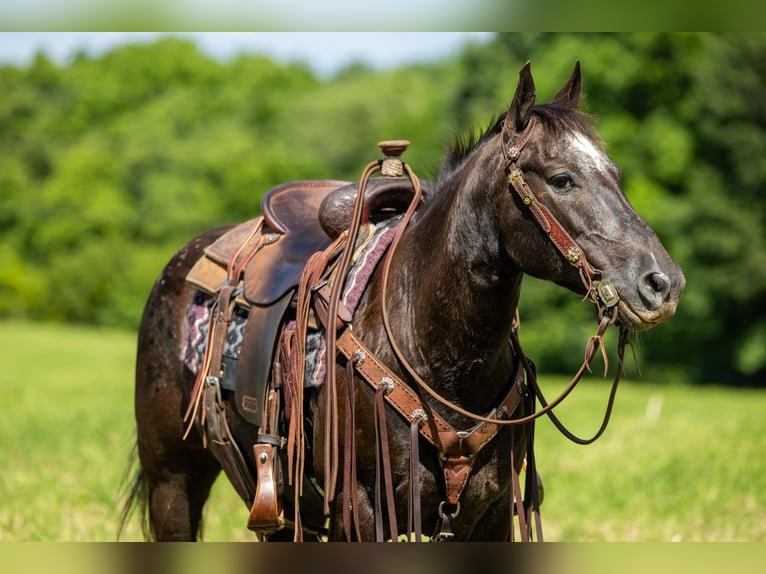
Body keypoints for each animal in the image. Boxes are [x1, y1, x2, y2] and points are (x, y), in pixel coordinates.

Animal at [119, 61, 685, 542]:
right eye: (562, 179)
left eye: (614, 173)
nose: (663, 284)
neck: (438, 350)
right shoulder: (361, 511)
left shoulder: (489, 513)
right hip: (174, 481)